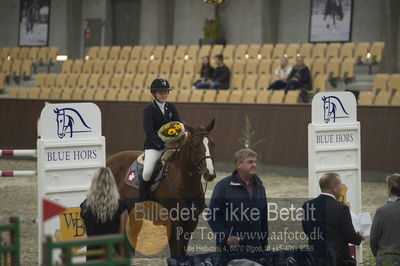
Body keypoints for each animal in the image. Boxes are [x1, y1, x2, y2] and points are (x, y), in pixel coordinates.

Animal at [107, 119, 216, 256]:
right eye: (195, 145)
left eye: (212, 144)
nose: (210, 174)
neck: (186, 183)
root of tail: (110, 160)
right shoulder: (174, 223)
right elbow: (176, 253)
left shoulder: (191, 222)